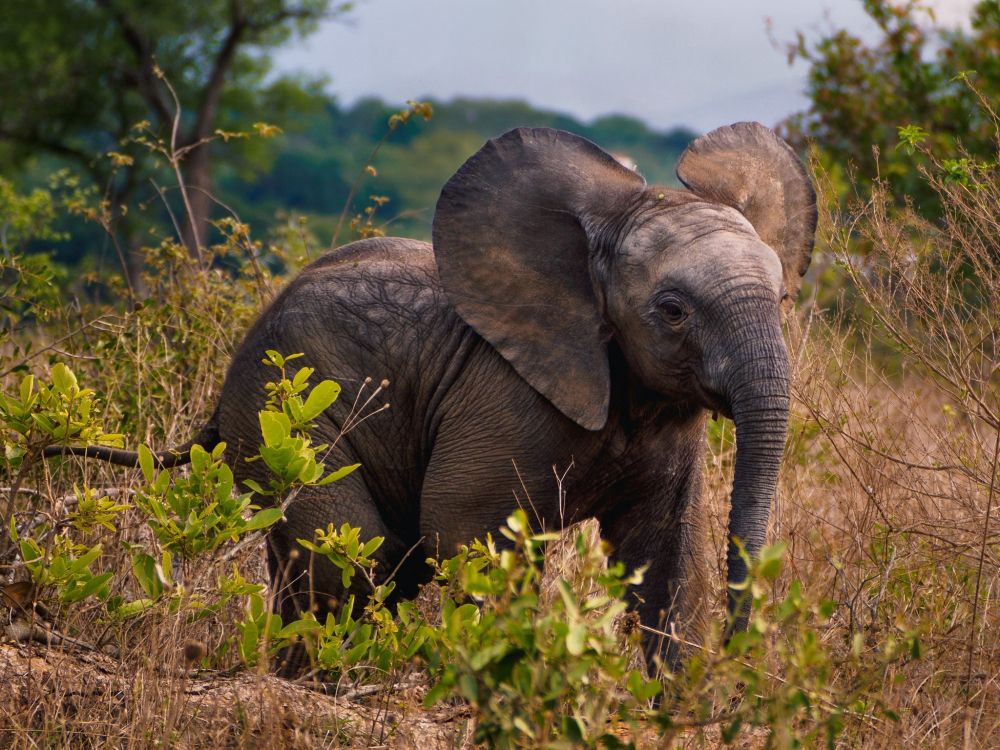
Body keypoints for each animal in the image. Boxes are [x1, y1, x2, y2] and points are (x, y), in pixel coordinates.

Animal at [47, 122, 817, 670]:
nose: (744, 658)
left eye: (782, 298)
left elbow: (667, 557)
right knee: (356, 554)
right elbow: (469, 532)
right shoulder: (504, 396)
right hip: (277, 416)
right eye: (673, 311)